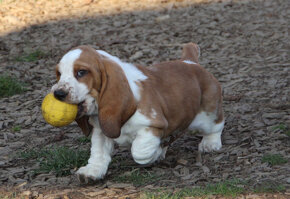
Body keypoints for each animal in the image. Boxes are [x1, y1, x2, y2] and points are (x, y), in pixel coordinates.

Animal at [51, 42, 225, 183]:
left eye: (81, 72)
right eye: (59, 74)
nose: (58, 93)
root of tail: (190, 62)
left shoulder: (152, 125)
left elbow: (139, 152)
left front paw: (155, 153)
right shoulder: (101, 130)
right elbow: (98, 152)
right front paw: (92, 171)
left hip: (206, 116)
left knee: (216, 125)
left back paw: (210, 144)